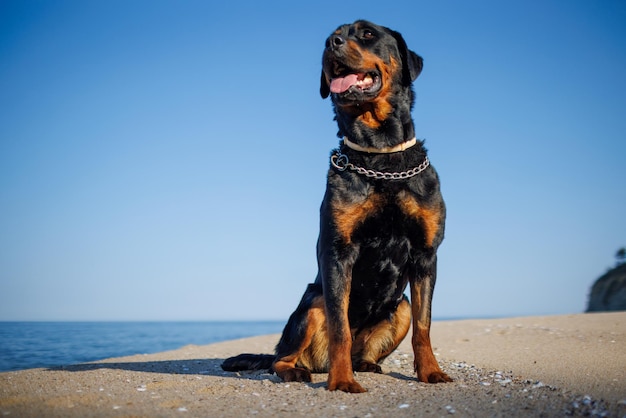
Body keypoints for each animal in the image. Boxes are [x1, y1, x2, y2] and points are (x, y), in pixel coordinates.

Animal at [219, 18, 448, 392]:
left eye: (367, 33)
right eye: (333, 36)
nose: (332, 43)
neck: (380, 157)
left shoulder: (425, 254)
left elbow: (424, 326)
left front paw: (431, 372)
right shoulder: (338, 252)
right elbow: (340, 328)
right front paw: (342, 381)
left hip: (399, 306)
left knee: (376, 339)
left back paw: (365, 364)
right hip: (312, 304)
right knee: (282, 357)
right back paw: (301, 370)